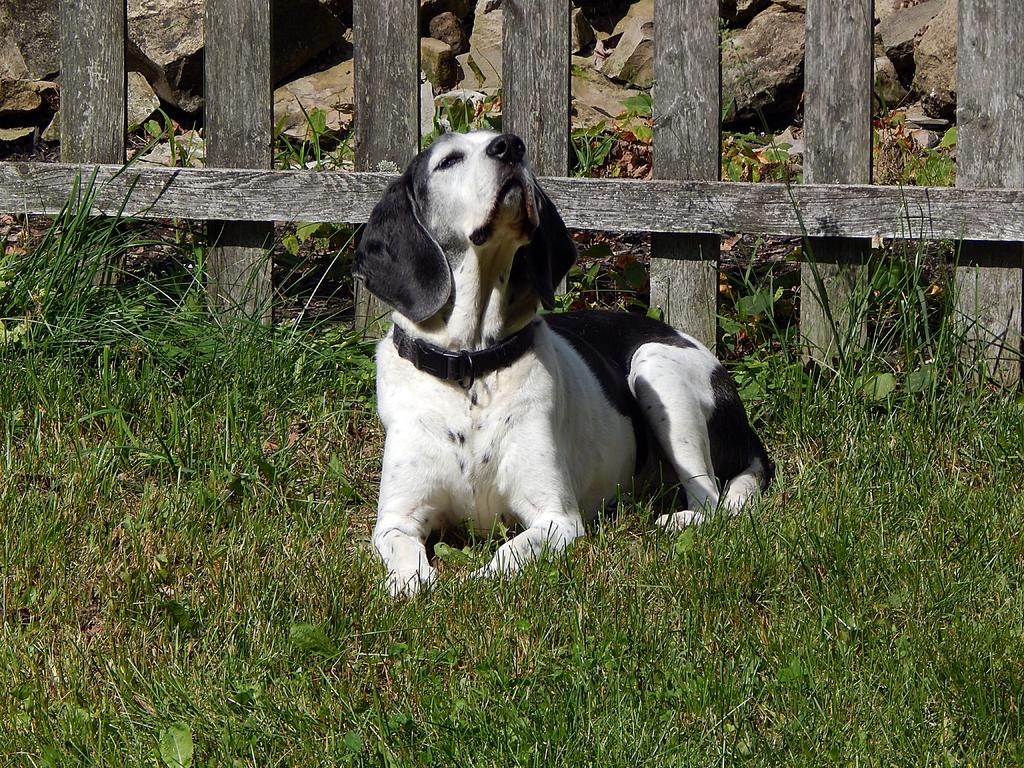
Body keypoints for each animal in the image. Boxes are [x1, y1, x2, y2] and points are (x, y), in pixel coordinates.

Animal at [354, 130, 772, 597]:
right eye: (448, 161)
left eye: (504, 143)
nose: (510, 146)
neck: (472, 370)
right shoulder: (397, 521)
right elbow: (405, 561)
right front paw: (413, 584)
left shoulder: (557, 519)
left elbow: (506, 555)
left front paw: (473, 582)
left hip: (654, 365)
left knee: (711, 502)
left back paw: (674, 520)